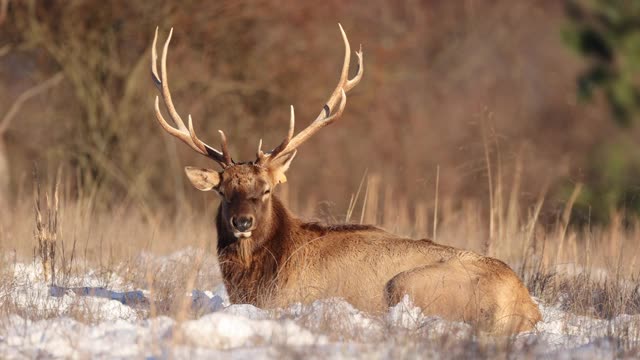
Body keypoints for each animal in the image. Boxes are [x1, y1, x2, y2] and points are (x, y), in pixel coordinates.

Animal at [152, 25, 544, 334]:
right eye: (222, 191)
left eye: (265, 190)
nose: (242, 222)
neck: (258, 277)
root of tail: (526, 305)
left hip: (408, 284)